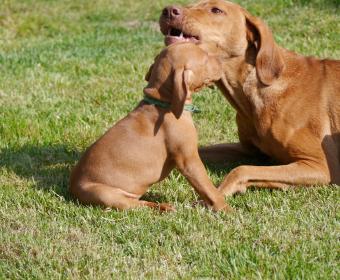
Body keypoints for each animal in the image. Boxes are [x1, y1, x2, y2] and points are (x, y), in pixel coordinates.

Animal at [69, 42, 231, 211]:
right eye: (205, 58)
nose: (223, 61)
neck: (163, 104)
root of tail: (72, 188)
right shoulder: (189, 160)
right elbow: (209, 189)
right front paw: (226, 210)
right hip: (105, 194)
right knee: (136, 205)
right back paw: (164, 207)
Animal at [159, 0, 340, 197]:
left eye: (216, 10)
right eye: (190, 5)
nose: (168, 11)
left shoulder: (320, 165)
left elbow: (241, 169)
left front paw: (218, 192)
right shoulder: (250, 151)